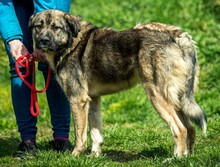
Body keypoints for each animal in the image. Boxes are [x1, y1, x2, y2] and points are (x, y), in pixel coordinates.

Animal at [28, 9, 206, 158]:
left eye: (56, 27)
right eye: (38, 26)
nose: (43, 40)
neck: (72, 42)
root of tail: (179, 36)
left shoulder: (78, 100)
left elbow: (80, 135)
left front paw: (75, 156)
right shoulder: (93, 100)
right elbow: (96, 134)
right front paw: (94, 156)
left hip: (157, 96)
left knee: (180, 129)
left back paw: (175, 158)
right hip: (177, 98)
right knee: (190, 128)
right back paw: (187, 157)